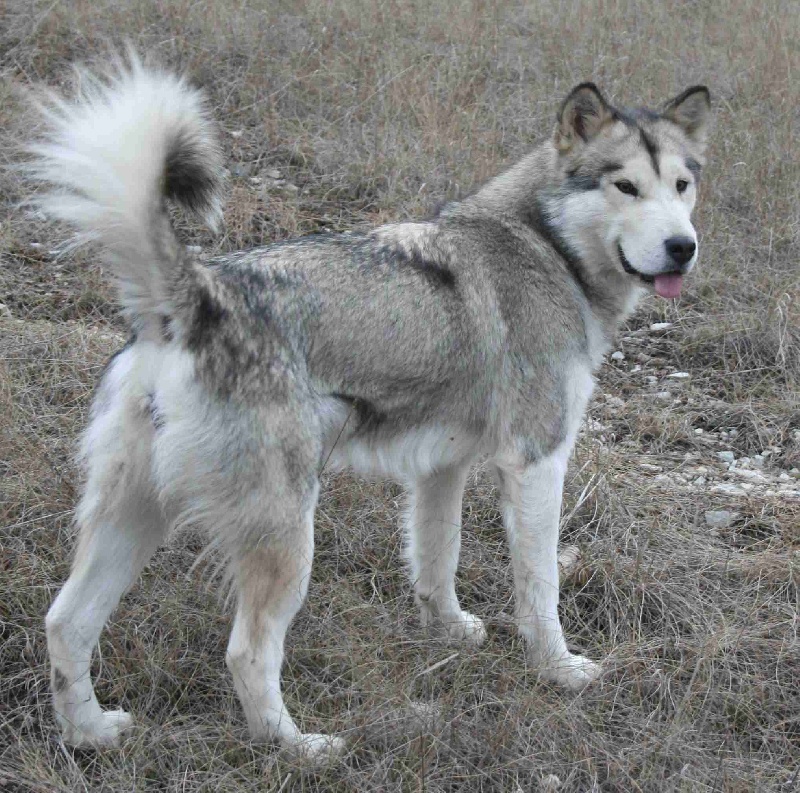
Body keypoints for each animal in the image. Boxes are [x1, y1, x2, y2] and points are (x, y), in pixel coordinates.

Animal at [26, 57, 712, 760]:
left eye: (681, 185)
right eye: (625, 186)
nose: (682, 247)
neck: (547, 245)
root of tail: (195, 299)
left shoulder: (442, 469)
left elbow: (438, 560)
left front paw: (448, 633)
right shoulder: (537, 463)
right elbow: (540, 586)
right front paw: (559, 669)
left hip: (134, 519)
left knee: (65, 623)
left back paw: (88, 733)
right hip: (286, 538)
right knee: (246, 654)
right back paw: (300, 749)